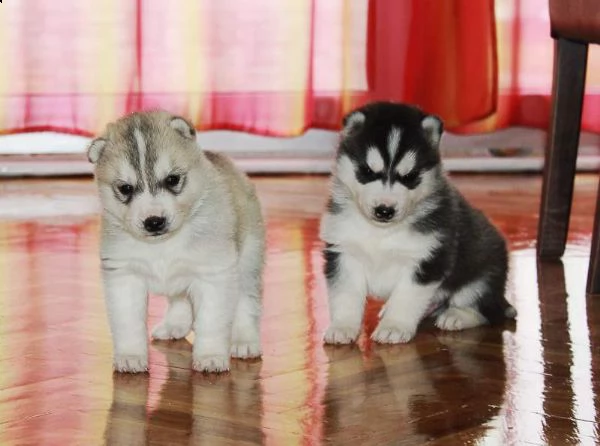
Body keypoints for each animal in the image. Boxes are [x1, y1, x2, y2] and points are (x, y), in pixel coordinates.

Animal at [322, 102, 512, 344]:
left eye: (409, 176)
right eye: (367, 171)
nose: (385, 210)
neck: (381, 232)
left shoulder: (427, 259)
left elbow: (406, 297)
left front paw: (394, 326)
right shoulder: (344, 252)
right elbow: (346, 294)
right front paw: (343, 326)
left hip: (481, 279)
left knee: (486, 310)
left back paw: (456, 316)